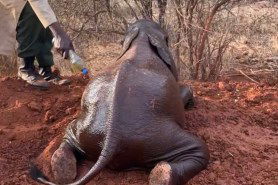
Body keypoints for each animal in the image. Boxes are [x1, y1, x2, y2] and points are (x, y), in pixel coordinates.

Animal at [31, 19, 208, 185]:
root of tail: (111, 139)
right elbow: (185, 90)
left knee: (68, 136)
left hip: (83, 128)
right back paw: (162, 175)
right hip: (158, 137)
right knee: (199, 149)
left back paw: (63, 169)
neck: (141, 37)